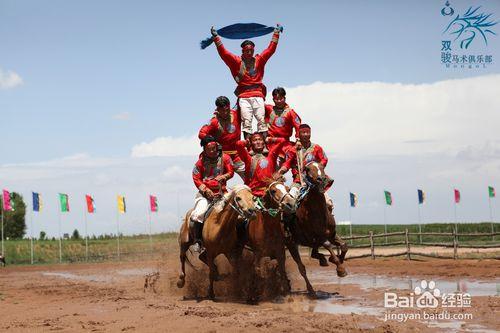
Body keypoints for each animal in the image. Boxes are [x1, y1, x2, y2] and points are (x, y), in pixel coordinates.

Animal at [286, 162, 348, 294]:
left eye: (322, 167)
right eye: (308, 169)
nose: (321, 179)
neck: (317, 212)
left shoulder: (331, 234)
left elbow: (344, 245)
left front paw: (336, 260)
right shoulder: (315, 237)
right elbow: (328, 245)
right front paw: (340, 269)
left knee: (314, 253)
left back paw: (323, 260)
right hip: (291, 244)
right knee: (301, 267)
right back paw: (311, 290)